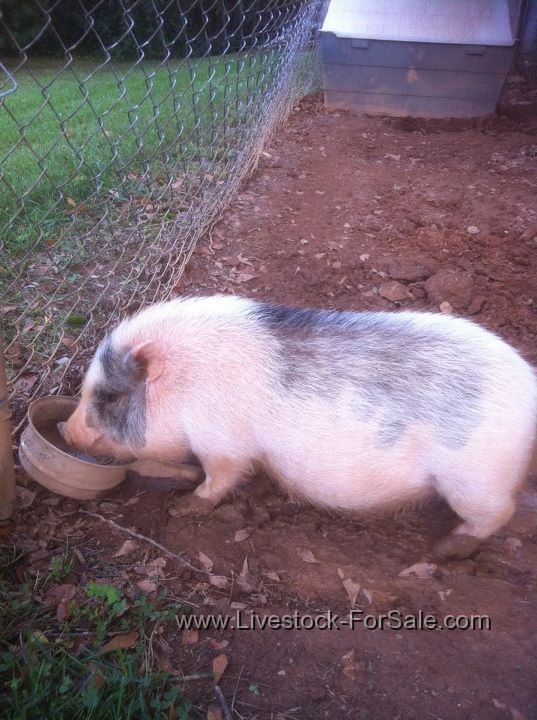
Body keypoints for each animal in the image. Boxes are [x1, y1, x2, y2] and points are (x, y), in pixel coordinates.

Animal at [60, 294, 537, 558]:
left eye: (108, 396)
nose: (66, 430)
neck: (183, 386)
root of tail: (529, 385)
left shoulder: (224, 443)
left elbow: (221, 477)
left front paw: (183, 508)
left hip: (475, 477)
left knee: (497, 513)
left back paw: (441, 551)